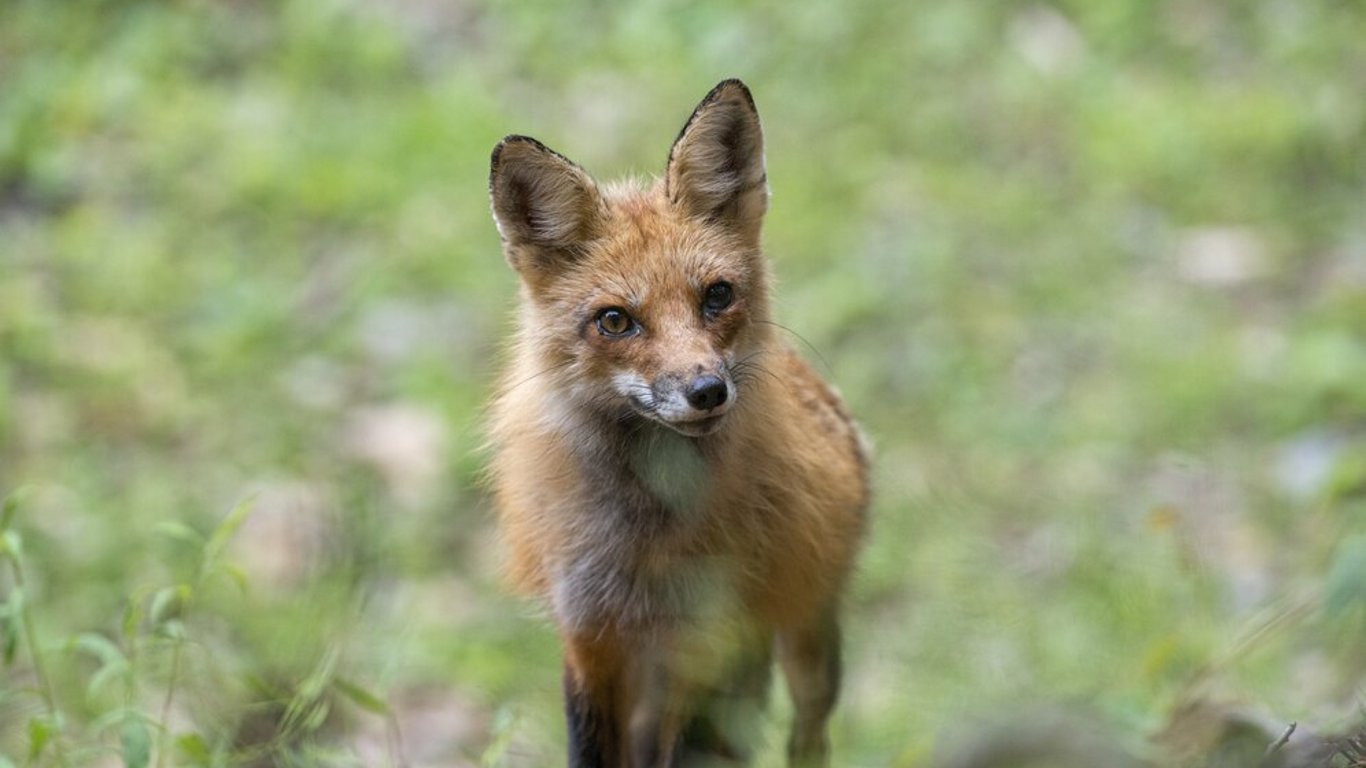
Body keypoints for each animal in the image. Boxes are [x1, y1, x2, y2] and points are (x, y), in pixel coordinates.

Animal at [486, 80, 868, 759]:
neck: (644, 544)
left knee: (808, 738)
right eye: (615, 321)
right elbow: (591, 751)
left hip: (804, 641)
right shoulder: (589, 638)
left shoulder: (706, 645)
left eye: (717, 295)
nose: (708, 391)